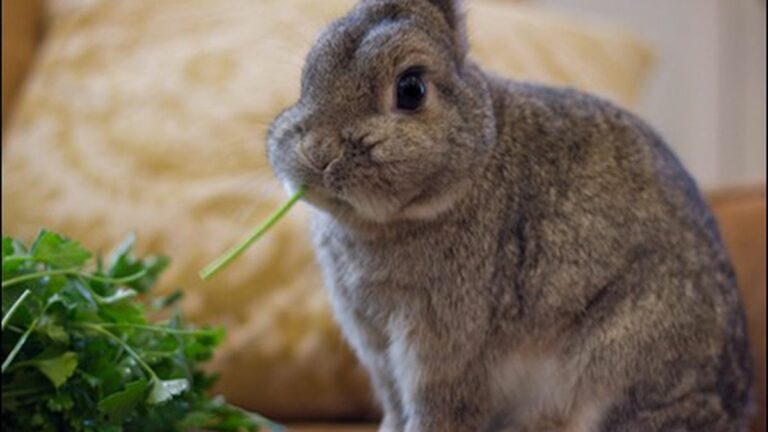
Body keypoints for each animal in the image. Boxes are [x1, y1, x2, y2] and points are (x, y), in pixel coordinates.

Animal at [266, 0, 754, 431]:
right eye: (308, 74)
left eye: (411, 90)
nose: (320, 155)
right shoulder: (379, 350)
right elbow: (396, 407)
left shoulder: (444, 350)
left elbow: (435, 408)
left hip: (620, 357)